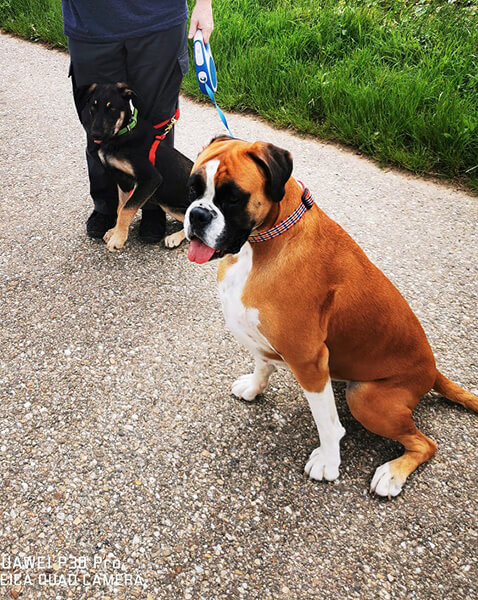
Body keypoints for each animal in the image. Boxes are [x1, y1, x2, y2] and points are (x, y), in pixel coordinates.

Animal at [80, 83, 193, 252]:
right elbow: (121, 208)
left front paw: (118, 238)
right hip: (167, 204)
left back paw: (174, 238)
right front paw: (115, 231)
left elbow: (127, 209)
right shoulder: (123, 181)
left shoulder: (151, 178)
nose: (95, 135)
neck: (121, 135)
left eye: (111, 109)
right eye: (93, 107)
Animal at [184, 136, 478, 497]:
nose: (197, 214)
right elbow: (262, 364)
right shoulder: (261, 335)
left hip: (365, 398)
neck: (261, 243)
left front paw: (328, 462)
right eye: (192, 188)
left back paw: (393, 473)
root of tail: (433, 370)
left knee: (426, 443)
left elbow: (326, 422)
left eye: (233, 198)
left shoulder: (308, 359)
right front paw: (253, 387)